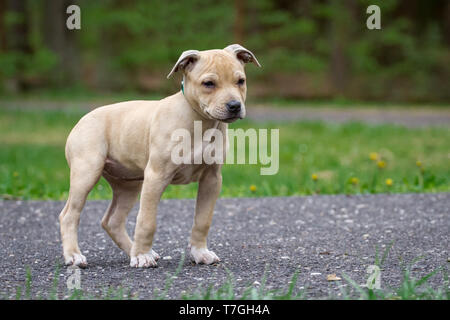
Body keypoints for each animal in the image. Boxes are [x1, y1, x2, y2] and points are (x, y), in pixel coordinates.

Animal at [58, 43, 260, 268]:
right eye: (208, 83)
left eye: (240, 81)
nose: (234, 106)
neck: (199, 121)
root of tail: (81, 120)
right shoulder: (156, 176)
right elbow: (147, 221)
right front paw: (141, 255)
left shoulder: (212, 179)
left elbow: (203, 220)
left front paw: (200, 252)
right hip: (86, 172)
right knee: (69, 215)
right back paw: (75, 255)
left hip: (128, 184)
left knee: (112, 221)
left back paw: (133, 251)